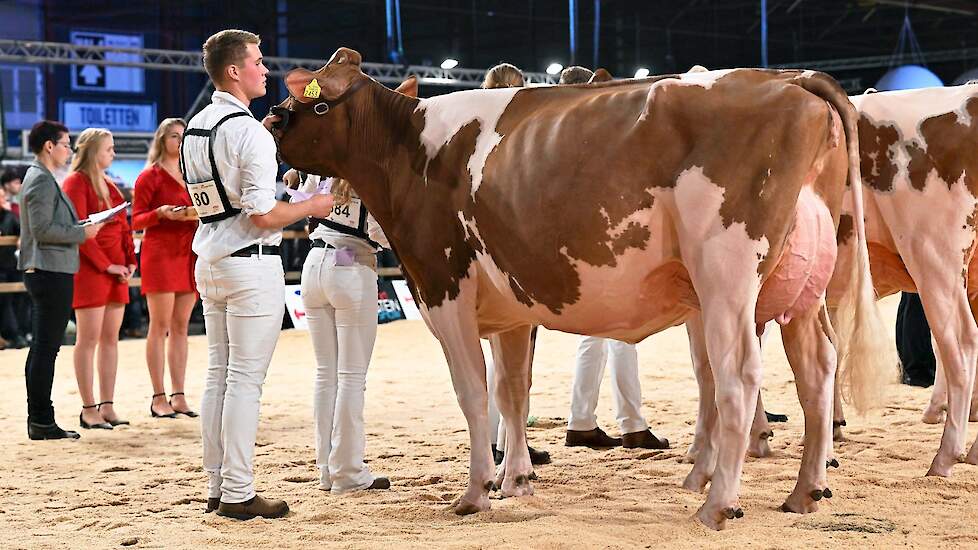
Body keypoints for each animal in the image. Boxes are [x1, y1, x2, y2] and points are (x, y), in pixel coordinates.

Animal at [270, 50, 888, 532]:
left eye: (314, 101)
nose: (272, 120)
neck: (411, 150)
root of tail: (789, 79)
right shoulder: (512, 311)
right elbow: (512, 393)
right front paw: (516, 481)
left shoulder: (443, 288)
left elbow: (473, 394)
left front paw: (474, 494)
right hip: (801, 288)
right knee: (816, 369)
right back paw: (805, 492)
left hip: (727, 276)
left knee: (738, 377)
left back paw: (718, 504)